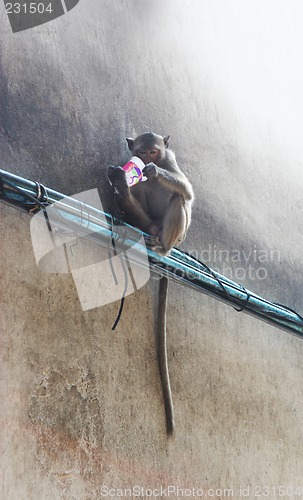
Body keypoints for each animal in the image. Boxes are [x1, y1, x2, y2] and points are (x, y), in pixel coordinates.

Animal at [107, 133, 195, 434]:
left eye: (154, 152)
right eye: (141, 151)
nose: (145, 161)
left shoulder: (171, 160)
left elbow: (187, 191)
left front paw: (153, 172)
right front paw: (123, 179)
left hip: (174, 233)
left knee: (179, 198)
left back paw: (163, 247)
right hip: (147, 220)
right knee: (139, 199)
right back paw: (126, 193)